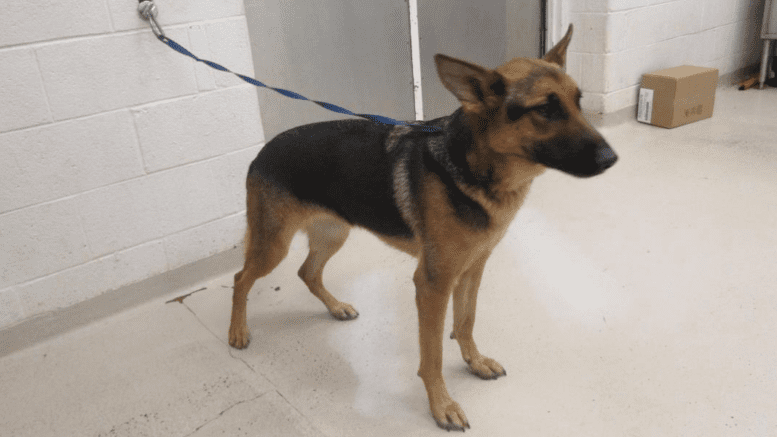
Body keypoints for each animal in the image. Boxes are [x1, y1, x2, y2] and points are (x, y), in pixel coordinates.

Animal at [227, 24, 616, 430]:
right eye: (545, 109)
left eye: (578, 101)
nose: (611, 159)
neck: (474, 166)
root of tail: (262, 151)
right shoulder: (432, 284)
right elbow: (432, 356)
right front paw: (442, 405)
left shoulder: (472, 269)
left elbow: (466, 321)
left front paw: (475, 361)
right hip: (275, 246)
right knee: (241, 279)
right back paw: (237, 331)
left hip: (334, 234)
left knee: (307, 272)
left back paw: (335, 307)